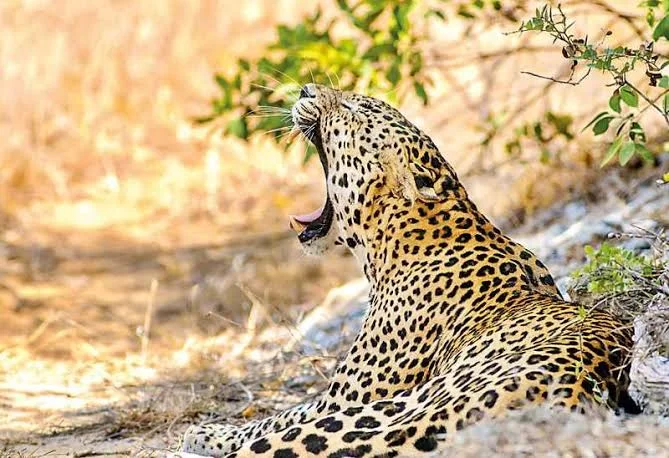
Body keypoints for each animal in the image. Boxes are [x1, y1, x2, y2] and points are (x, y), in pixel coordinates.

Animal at [181, 84, 639, 457]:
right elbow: (284, 412)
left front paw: (206, 433)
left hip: (389, 409)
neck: (393, 245)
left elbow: (279, 417)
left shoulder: (346, 398)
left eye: (354, 107)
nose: (306, 88)